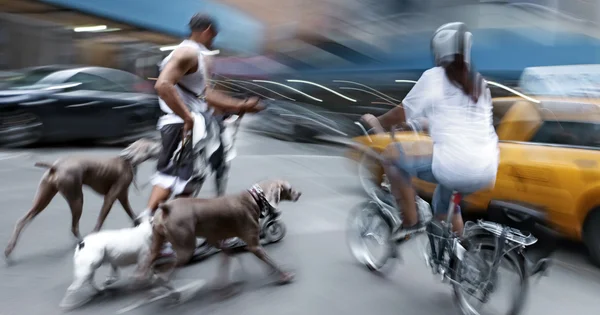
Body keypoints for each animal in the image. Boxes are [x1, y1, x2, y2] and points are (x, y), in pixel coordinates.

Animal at [3, 139, 162, 260]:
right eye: (152, 145)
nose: (160, 144)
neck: (128, 159)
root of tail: (55, 166)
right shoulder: (111, 197)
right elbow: (100, 221)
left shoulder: (122, 196)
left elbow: (132, 215)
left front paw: (139, 224)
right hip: (76, 198)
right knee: (74, 227)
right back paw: (82, 241)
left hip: (44, 198)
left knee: (22, 220)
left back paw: (9, 248)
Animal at [139, 180, 302, 286]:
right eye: (290, 188)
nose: (300, 193)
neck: (255, 199)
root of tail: (166, 208)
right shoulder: (254, 246)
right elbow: (272, 261)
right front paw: (285, 275)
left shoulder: (217, 239)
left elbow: (226, 258)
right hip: (186, 248)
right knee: (168, 268)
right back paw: (161, 281)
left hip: (158, 241)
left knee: (150, 258)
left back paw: (142, 277)